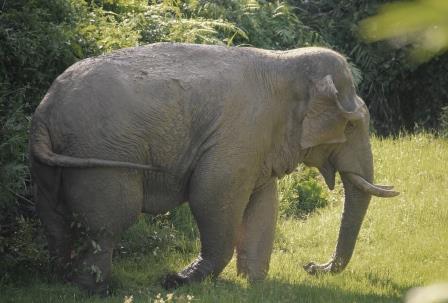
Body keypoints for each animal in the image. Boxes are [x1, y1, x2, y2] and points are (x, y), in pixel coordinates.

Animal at [28, 42, 400, 294]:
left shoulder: (256, 145)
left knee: (54, 218)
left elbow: (264, 204)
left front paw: (254, 283)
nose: (310, 266)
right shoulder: (239, 135)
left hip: (48, 165)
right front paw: (178, 280)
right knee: (107, 222)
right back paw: (95, 289)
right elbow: (211, 194)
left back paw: (62, 278)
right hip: (100, 156)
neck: (284, 61)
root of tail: (45, 111)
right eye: (352, 125)